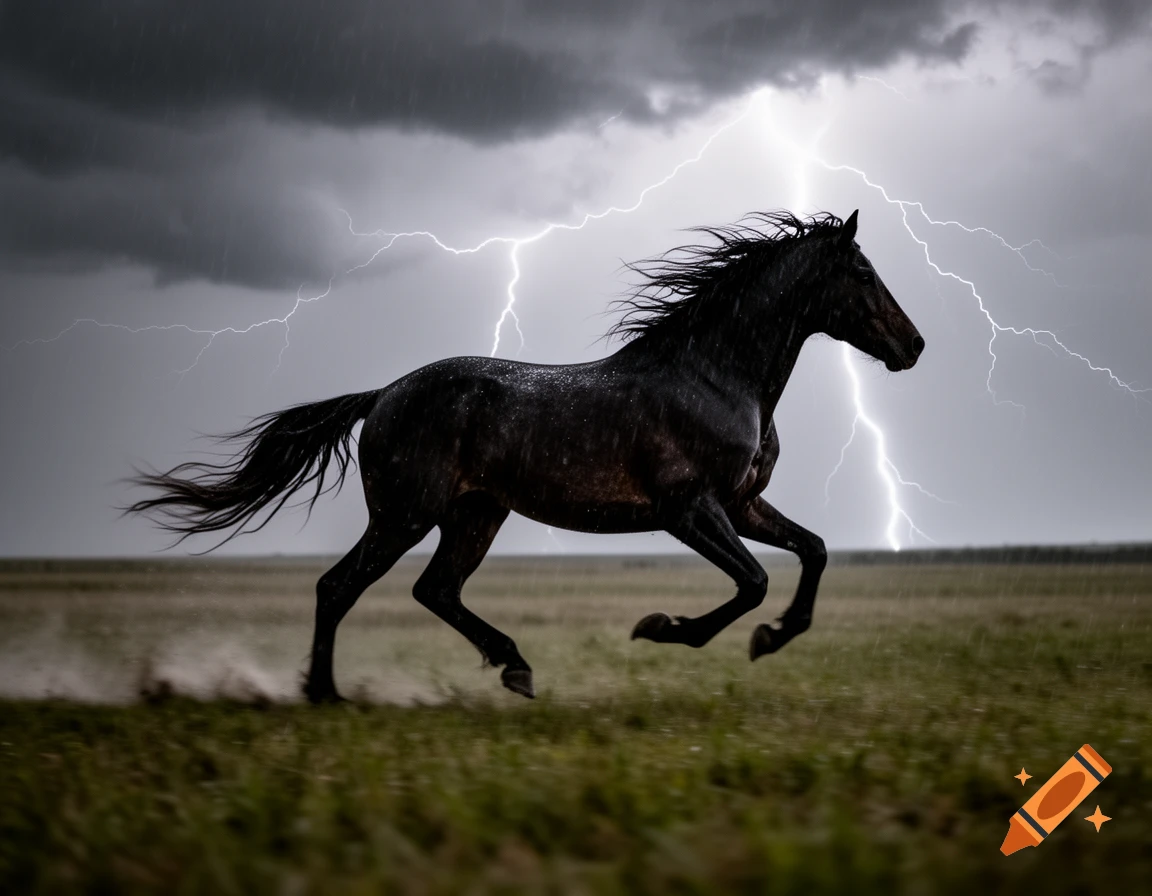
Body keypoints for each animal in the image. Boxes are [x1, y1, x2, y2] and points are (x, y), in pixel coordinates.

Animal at [126, 209, 924, 704]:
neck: (714, 377)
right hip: (405, 515)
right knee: (339, 587)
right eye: (860, 272)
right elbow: (753, 582)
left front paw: (773, 637)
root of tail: (382, 394)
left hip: (476, 515)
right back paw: (325, 694)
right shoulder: (689, 510)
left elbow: (813, 551)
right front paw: (665, 629)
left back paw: (515, 668)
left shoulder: (741, 504)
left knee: (434, 590)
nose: (913, 345)